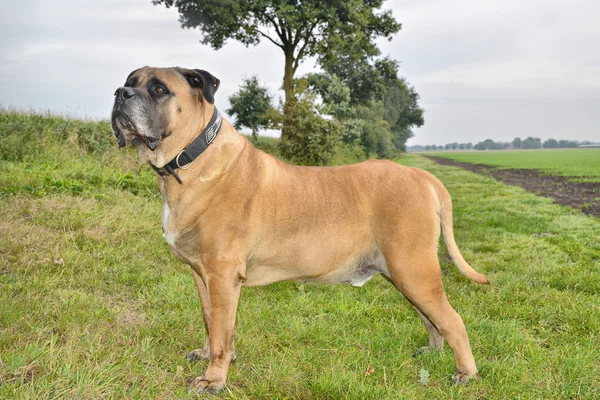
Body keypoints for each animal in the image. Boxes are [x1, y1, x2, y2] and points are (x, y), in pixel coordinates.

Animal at [111, 65, 488, 394]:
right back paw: (433, 352)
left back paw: (466, 374)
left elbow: (221, 333)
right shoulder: (202, 276)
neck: (191, 160)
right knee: (431, 319)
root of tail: (422, 176)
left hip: (414, 268)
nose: (120, 93)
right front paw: (208, 355)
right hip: (403, 273)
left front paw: (214, 379)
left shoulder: (222, 276)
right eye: (130, 81)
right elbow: (211, 323)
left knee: (453, 320)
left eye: (159, 89)